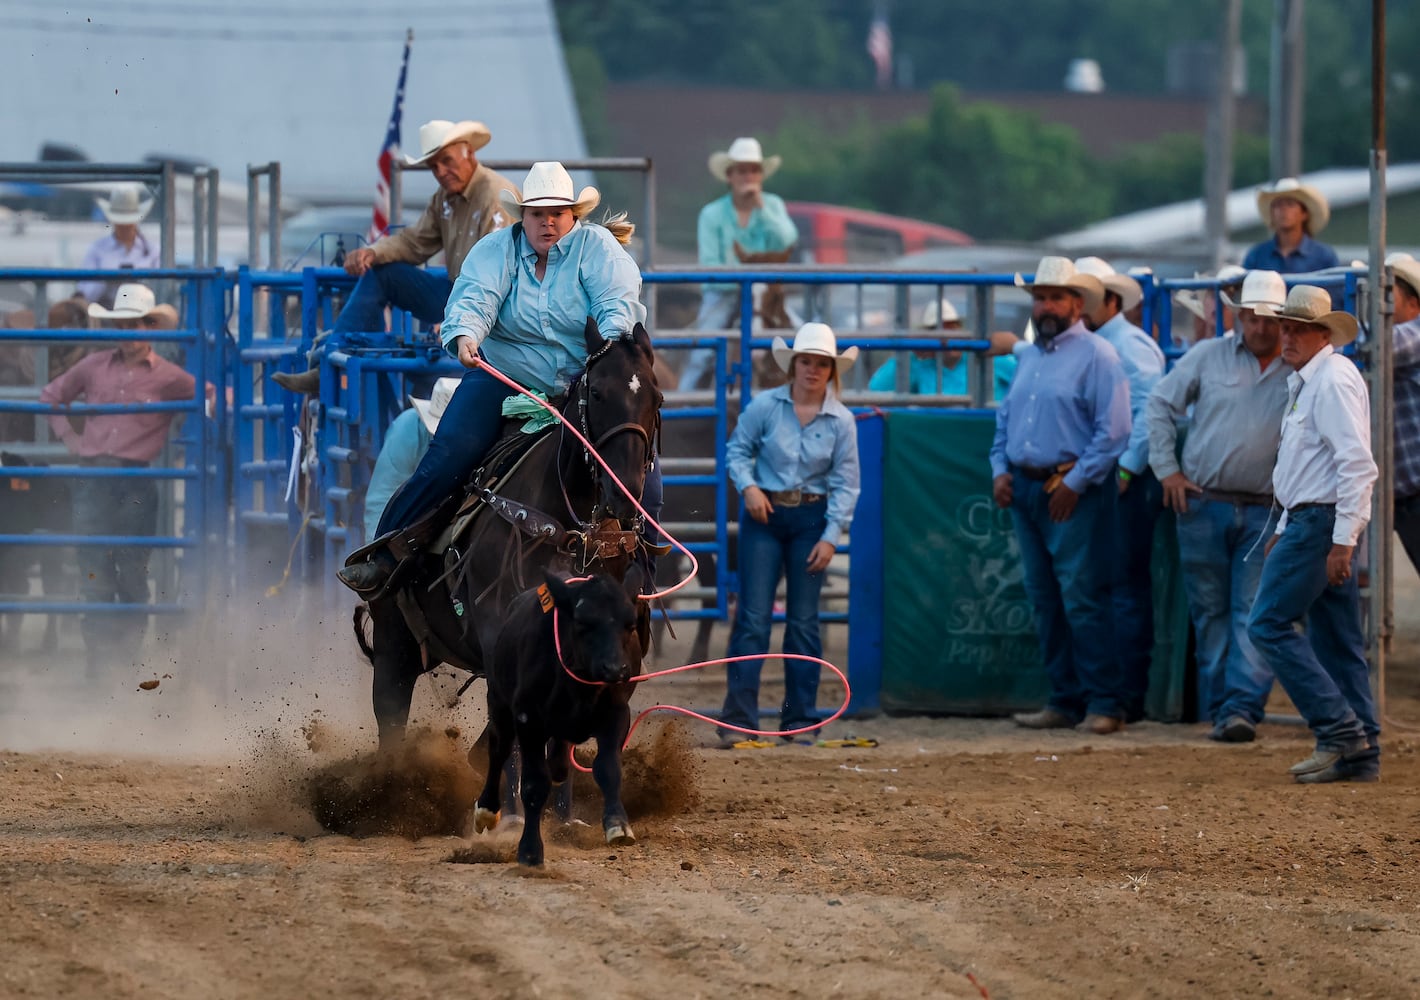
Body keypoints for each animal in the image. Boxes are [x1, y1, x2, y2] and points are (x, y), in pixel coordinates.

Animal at [355, 321, 664, 750]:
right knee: (392, 723)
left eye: (657, 398)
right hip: (393, 650)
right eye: (597, 393)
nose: (625, 492)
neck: (571, 533)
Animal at [477, 571, 653, 869]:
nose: (615, 669)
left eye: (630, 624)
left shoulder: (617, 715)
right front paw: (530, 850)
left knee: (559, 758)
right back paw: (486, 810)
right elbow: (534, 784)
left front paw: (617, 825)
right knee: (499, 750)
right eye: (582, 623)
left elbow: (608, 769)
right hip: (499, 704)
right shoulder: (528, 720)